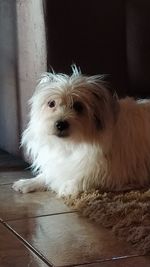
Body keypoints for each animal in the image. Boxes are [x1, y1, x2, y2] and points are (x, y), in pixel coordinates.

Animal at [12, 65, 150, 197]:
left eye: (78, 106)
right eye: (51, 103)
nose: (61, 124)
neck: (72, 143)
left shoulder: (113, 174)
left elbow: (84, 179)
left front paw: (66, 187)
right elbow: (49, 174)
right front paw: (29, 182)